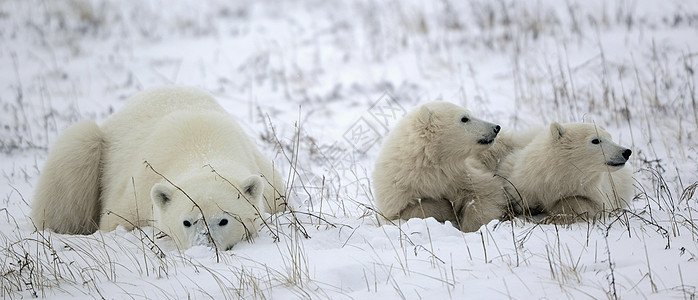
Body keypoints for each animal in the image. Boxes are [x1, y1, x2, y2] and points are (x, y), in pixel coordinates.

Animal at [29, 87, 286, 251]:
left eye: (224, 220)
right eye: (186, 222)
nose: (204, 247)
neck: (202, 146)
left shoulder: (271, 185)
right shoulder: (136, 191)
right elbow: (116, 222)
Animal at [372, 101, 502, 232]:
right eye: (464, 118)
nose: (496, 127)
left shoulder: (459, 175)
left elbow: (485, 192)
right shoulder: (397, 189)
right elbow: (410, 210)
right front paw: (445, 209)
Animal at [492, 122, 632, 223]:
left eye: (610, 137)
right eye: (596, 140)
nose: (626, 152)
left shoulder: (594, 190)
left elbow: (589, 205)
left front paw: (553, 216)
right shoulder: (522, 184)